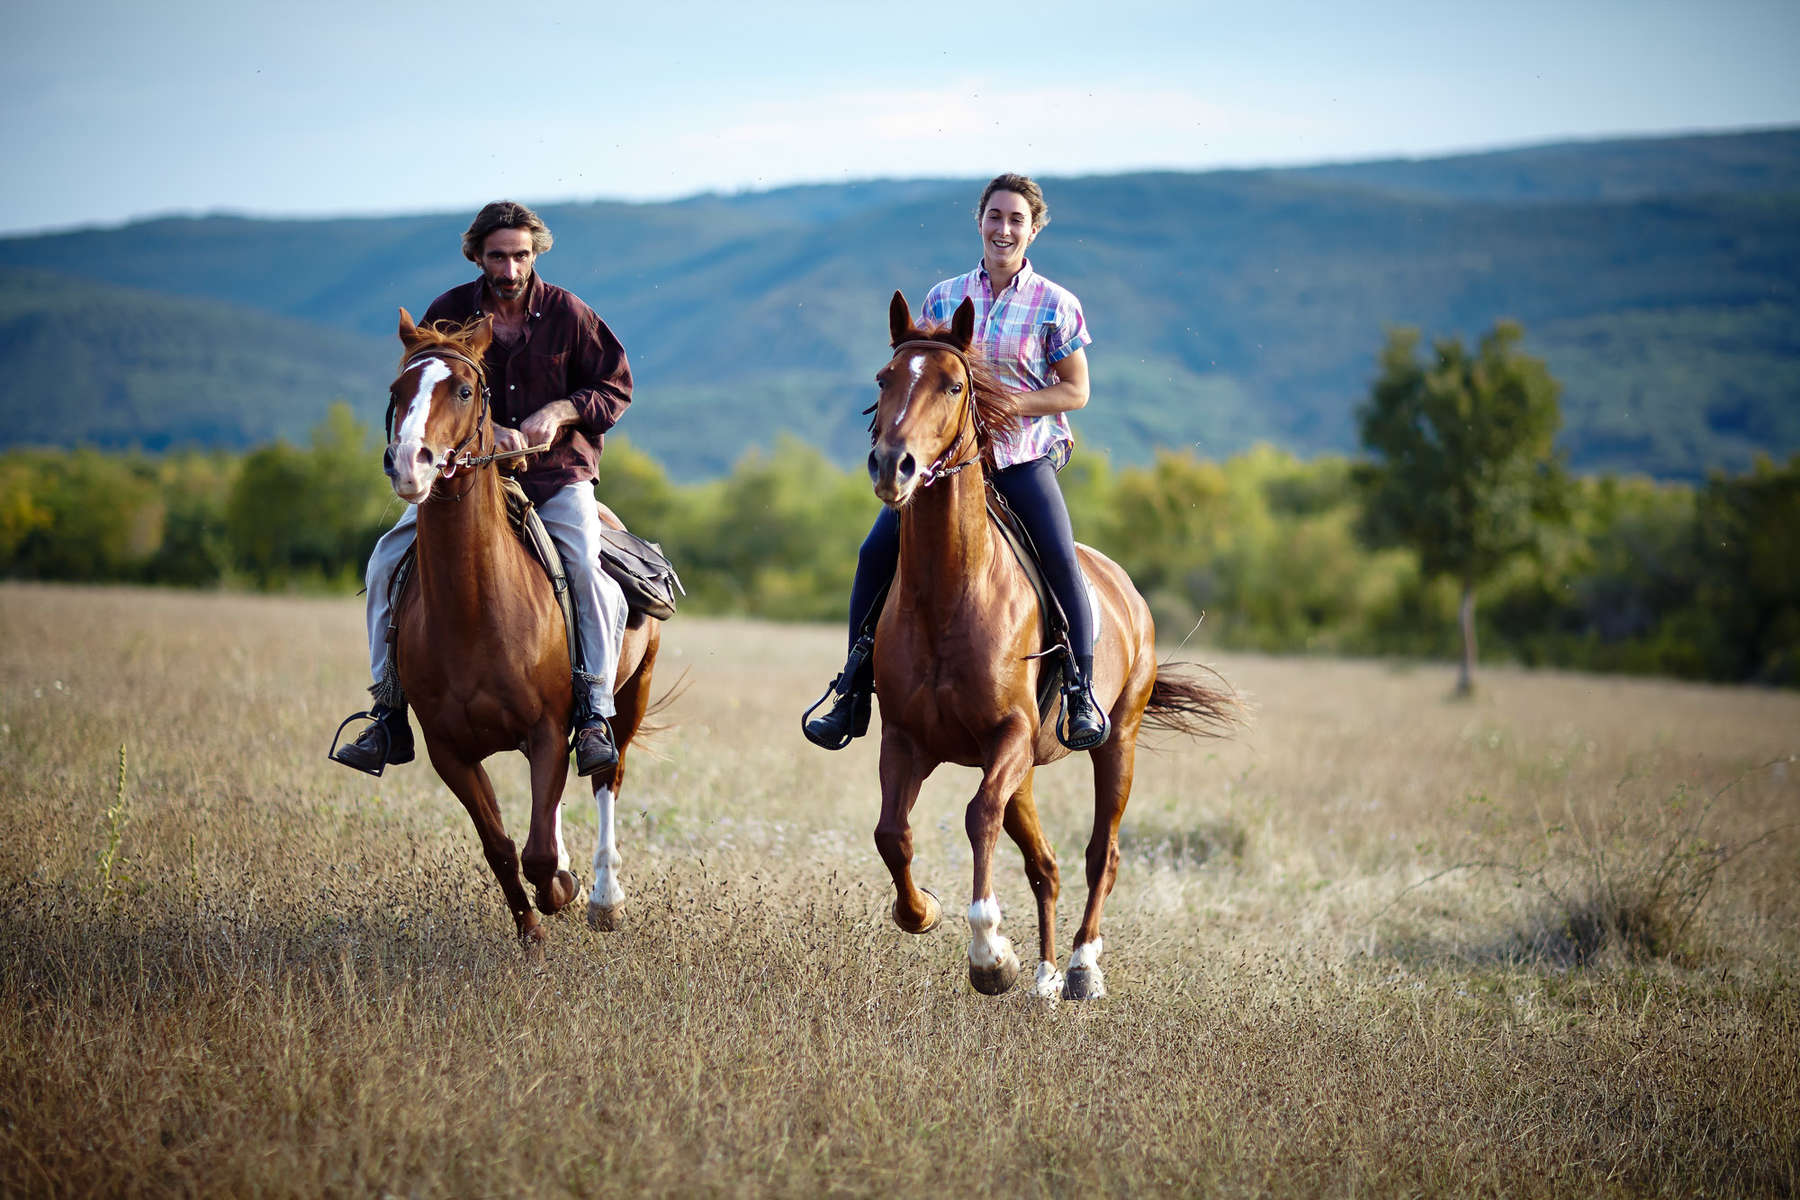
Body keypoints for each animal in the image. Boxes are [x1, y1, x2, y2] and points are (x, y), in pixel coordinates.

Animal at [381, 309, 662, 949]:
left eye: (464, 390)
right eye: (396, 391)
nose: (410, 462)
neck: (473, 614)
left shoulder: (547, 728)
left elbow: (537, 853)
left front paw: (562, 891)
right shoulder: (450, 751)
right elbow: (503, 847)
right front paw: (531, 929)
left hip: (630, 695)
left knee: (607, 777)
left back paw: (604, 898)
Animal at [860, 293, 1231, 1007]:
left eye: (953, 385)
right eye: (883, 380)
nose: (893, 467)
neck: (949, 591)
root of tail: (1128, 591)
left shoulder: (1006, 735)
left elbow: (977, 818)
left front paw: (988, 955)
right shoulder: (906, 739)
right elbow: (891, 833)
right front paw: (925, 912)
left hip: (1116, 743)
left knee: (1099, 854)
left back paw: (1082, 968)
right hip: (1027, 769)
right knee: (1046, 865)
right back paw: (1046, 975)